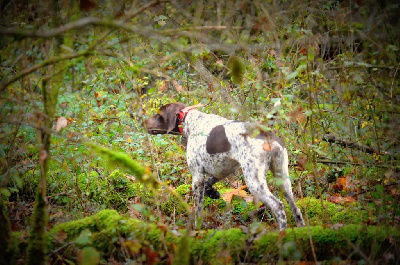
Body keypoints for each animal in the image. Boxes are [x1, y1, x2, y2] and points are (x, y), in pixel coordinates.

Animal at [145, 101, 304, 229]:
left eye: (158, 114)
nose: (144, 123)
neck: (191, 120)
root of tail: (264, 132)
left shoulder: (197, 177)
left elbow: (198, 210)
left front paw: (196, 230)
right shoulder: (223, 169)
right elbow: (209, 183)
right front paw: (213, 193)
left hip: (254, 182)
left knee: (278, 207)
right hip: (283, 179)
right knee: (296, 210)